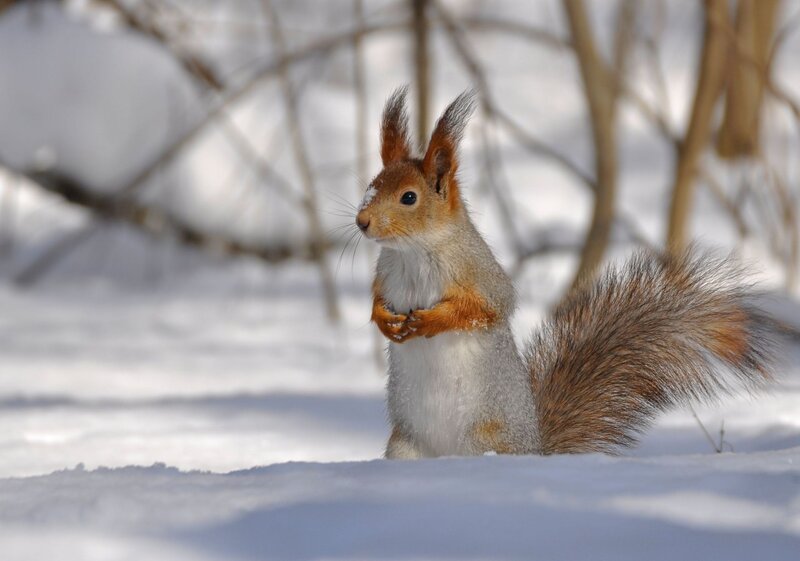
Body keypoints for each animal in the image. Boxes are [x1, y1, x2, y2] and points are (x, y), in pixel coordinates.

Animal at [355, 87, 774, 459]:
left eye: (409, 197)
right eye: (371, 186)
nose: (362, 222)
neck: (412, 252)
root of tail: (536, 450)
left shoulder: (480, 273)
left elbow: (486, 308)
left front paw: (429, 321)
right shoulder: (386, 273)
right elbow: (377, 300)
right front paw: (384, 321)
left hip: (483, 438)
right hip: (404, 446)